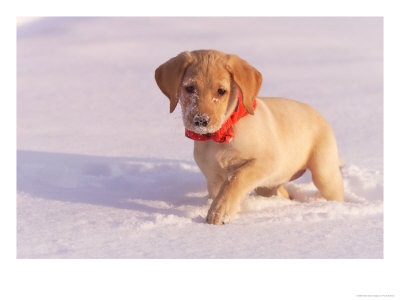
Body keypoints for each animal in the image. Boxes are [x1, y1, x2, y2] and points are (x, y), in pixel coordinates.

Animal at [155, 49, 342, 225]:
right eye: (189, 88)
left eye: (221, 91)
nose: (201, 121)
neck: (223, 133)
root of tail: (319, 114)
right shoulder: (212, 177)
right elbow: (222, 188)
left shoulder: (266, 161)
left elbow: (236, 179)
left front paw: (220, 212)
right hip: (271, 184)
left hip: (323, 173)